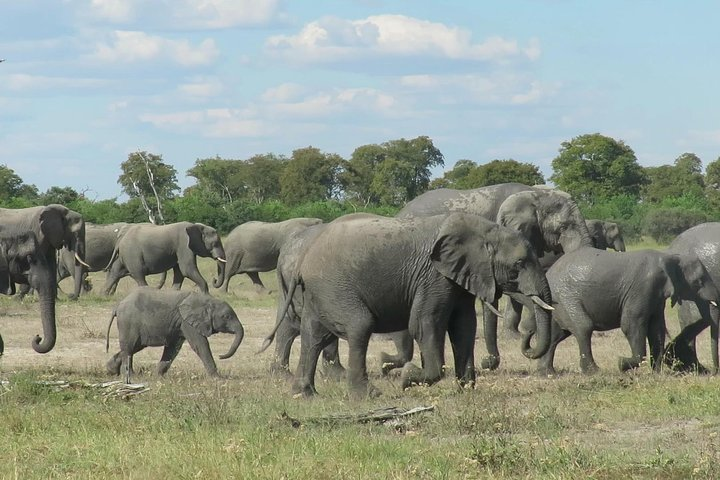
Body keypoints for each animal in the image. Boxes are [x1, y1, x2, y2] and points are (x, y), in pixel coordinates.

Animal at [0, 204, 87, 353]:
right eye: (76, 234)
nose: (38, 337)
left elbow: (50, 266)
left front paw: (56, 299)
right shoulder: (38, 233)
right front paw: (17, 299)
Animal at [106, 287, 245, 383]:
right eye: (226, 317)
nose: (220, 356)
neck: (208, 300)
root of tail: (117, 305)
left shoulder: (180, 323)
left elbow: (173, 348)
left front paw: (158, 376)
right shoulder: (186, 321)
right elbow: (200, 345)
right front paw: (218, 378)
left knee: (134, 346)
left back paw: (112, 370)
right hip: (128, 323)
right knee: (130, 347)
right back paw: (130, 375)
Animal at [266, 212, 553, 398]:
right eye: (519, 264)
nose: (527, 339)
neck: (485, 229)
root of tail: (303, 260)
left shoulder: (457, 278)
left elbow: (464, 328)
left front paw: (467, 391)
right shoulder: (433, 276)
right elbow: (425, 325)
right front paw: (408, 379)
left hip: (320, 293)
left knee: (313, 336)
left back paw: (304, 395)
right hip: (334, 287)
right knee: (359, 326)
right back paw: (368, 395)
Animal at [536, 248, 719, 375]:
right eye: (699, 281)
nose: (713, 372)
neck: (670, 257)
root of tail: (550, 272)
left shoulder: (657, 295)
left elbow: (657, 329)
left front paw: (657, 373)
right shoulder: (643, 288)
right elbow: (631, 324)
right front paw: (621, 363)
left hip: (558, 302)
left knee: (557, 334)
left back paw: (547, 372)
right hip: (566, 296)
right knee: (583, 327)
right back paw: (594, 372)